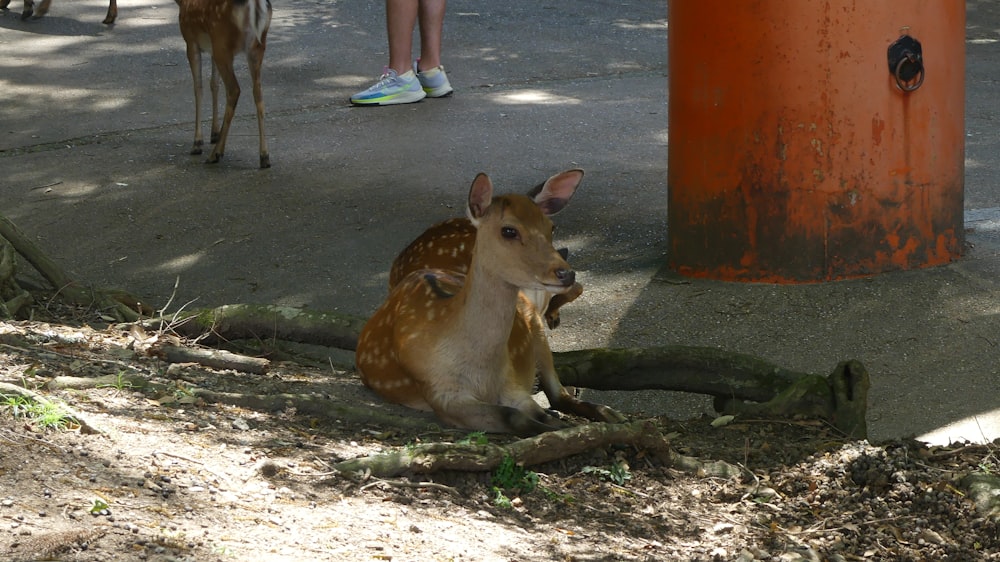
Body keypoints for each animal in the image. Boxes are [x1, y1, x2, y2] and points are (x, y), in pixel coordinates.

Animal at [176, 0, 270, 168]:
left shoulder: (191, 40)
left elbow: (198, 88)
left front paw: (197, 142)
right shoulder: (211, 48)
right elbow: (214, 84)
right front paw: (214, 133)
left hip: (223, 44)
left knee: (234, 89)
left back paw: (215, 153)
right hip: (256, 47)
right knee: (257, 92)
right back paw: (264, 156)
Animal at [358, 170, 624, 434]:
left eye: (551, 227)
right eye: (509, 230)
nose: (566, 273)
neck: (484, 374)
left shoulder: (512, 385)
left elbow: (545, 418)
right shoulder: (441, 393)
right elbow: (515, 417)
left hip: (535, 327)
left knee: (558, 393)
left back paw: (612, 414)